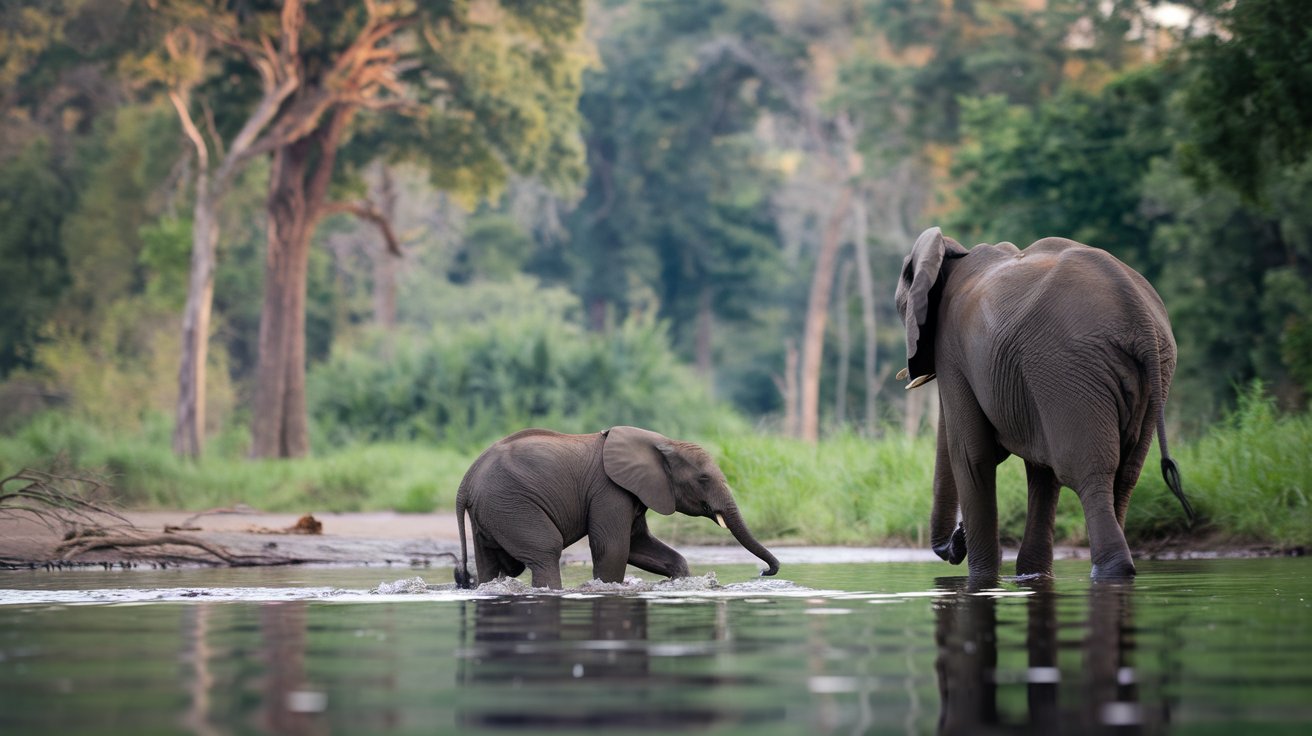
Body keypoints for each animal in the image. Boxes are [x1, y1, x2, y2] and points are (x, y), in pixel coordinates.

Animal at [453, 425, 776, 585]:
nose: (763, 572)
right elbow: (613, 548)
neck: (662, 442)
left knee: (491, 563)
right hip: (510, 504)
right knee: (546, 552)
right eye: (704, 478)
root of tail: (465, 481)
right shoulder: (610, 490)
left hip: (493, 510)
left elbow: (638, 545)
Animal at [897, 228, 1196, 579]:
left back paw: (1112, 570)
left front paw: (983, 579)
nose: (958, 537)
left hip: (1067, 365)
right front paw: (1030, 576)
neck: (953, 251)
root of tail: (1139, 315)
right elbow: (1040, 468)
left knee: (1088, 471)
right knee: (1125, 475)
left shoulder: (952, 348)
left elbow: (972, 457)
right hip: (1151, 373)